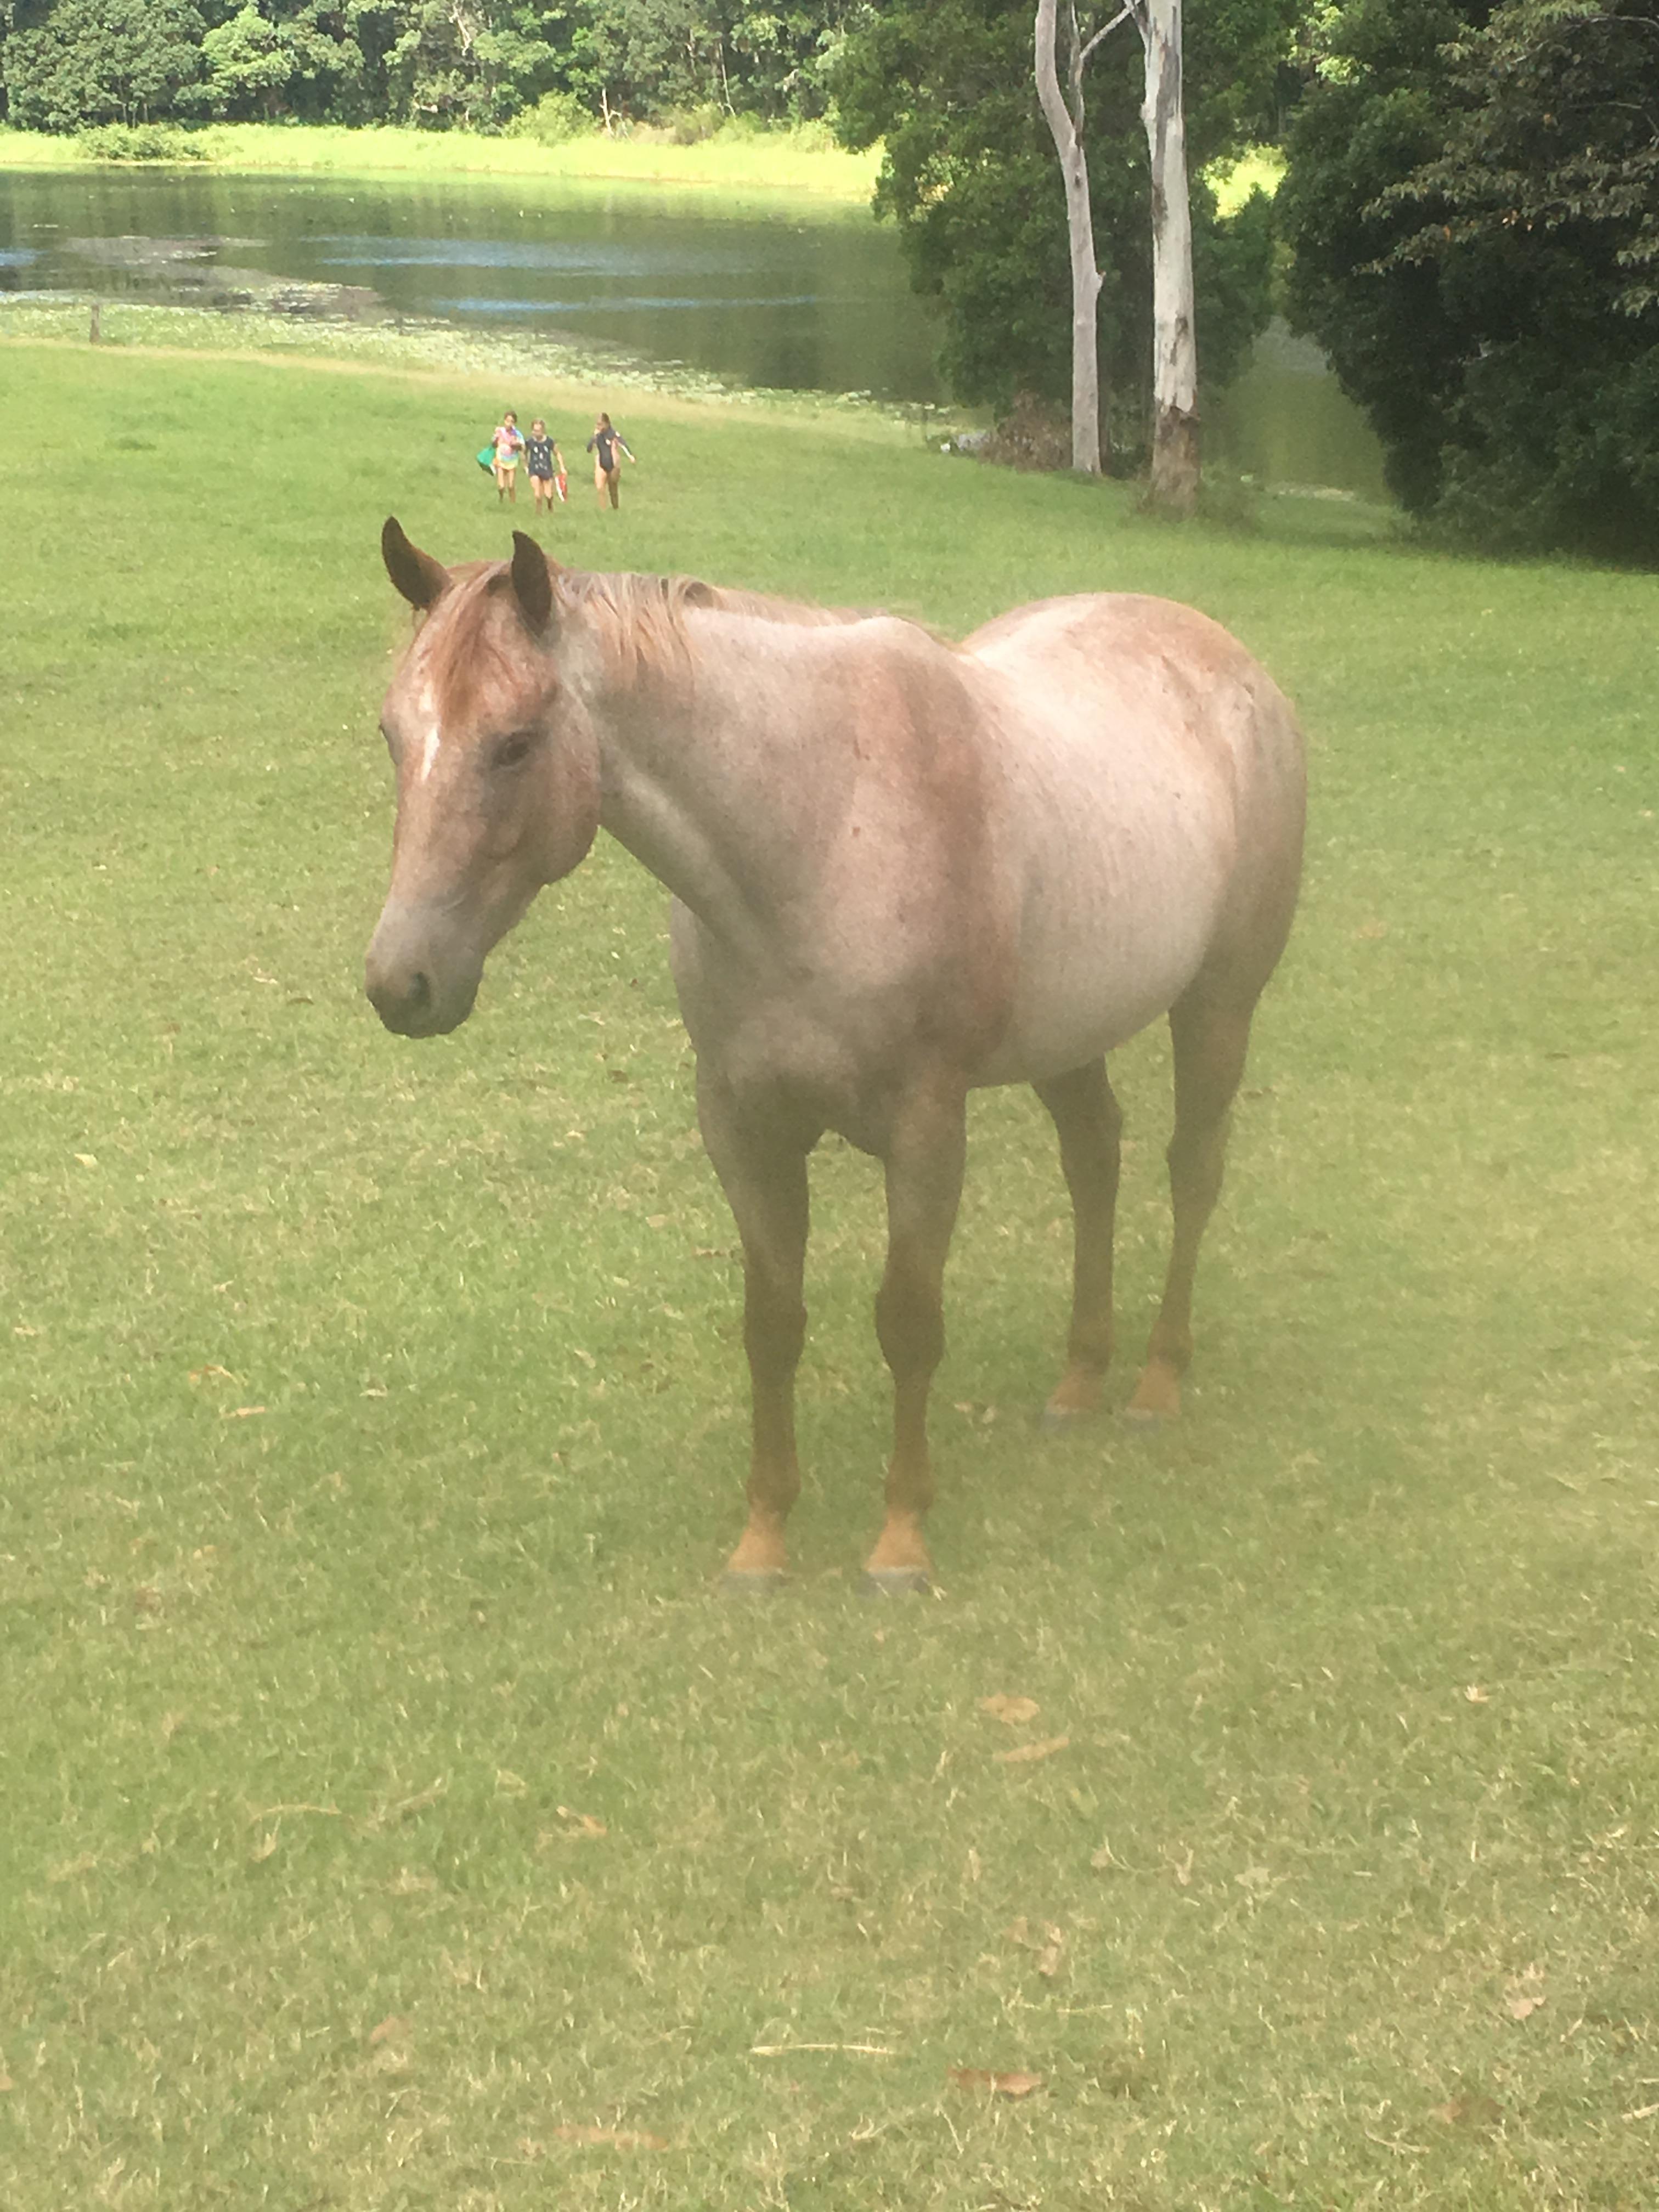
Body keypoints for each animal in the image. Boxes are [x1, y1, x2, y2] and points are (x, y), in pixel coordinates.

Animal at [366, 520, 1306, 1593]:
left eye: (515, 742)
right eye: (392, 734)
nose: (401, 983)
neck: (820, 830)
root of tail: (1230, 660)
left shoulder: (926, 1128)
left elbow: (908, 1322)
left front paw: (898, 1538)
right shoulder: (743, 1124)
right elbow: (771, 1326)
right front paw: (764, 1538)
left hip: (1217, 1007)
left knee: (1191, 1172)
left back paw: (1154, 1381)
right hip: (1072, 1033)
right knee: (1095, 1161)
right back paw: (1079, 1380)